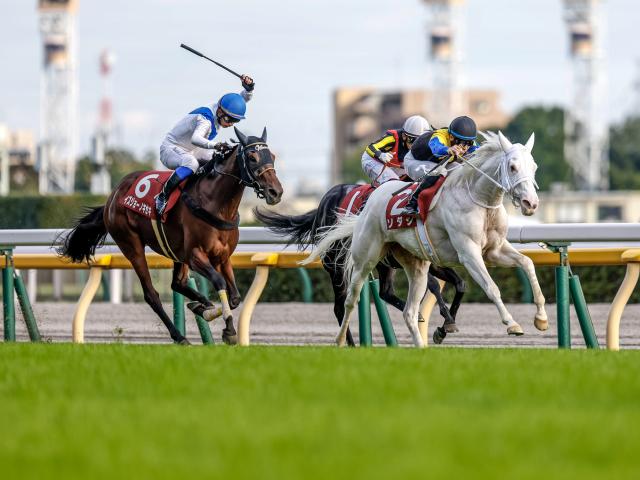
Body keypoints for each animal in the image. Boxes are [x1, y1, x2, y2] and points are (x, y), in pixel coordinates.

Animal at [58, 127, 284, 344]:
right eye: (252, 157)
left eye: (272, 156)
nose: (276, 192)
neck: (215, 203)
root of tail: (112, 197)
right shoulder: (195, 255)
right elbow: (220, 283)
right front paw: (228, 330)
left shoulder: (222, 256)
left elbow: (235, 296)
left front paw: (207, 310)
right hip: (132, 245)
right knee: (151, 294)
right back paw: (180, 336)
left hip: (177, 253)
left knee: (178, 284)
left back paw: (201, 305)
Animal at [308, 131, 548, 348]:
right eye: (513, 167)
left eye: (534, 167)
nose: (531, 203)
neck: (478, 199)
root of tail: (373, 199)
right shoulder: (468, 253)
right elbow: (491, 287)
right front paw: (512, 323)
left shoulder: (494, 250)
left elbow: (527, 263)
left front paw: (541, 319)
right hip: (362, 259)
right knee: (350, 300)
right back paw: (342, 341)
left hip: (414, 266)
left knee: (408, 311)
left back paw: (420, 347)